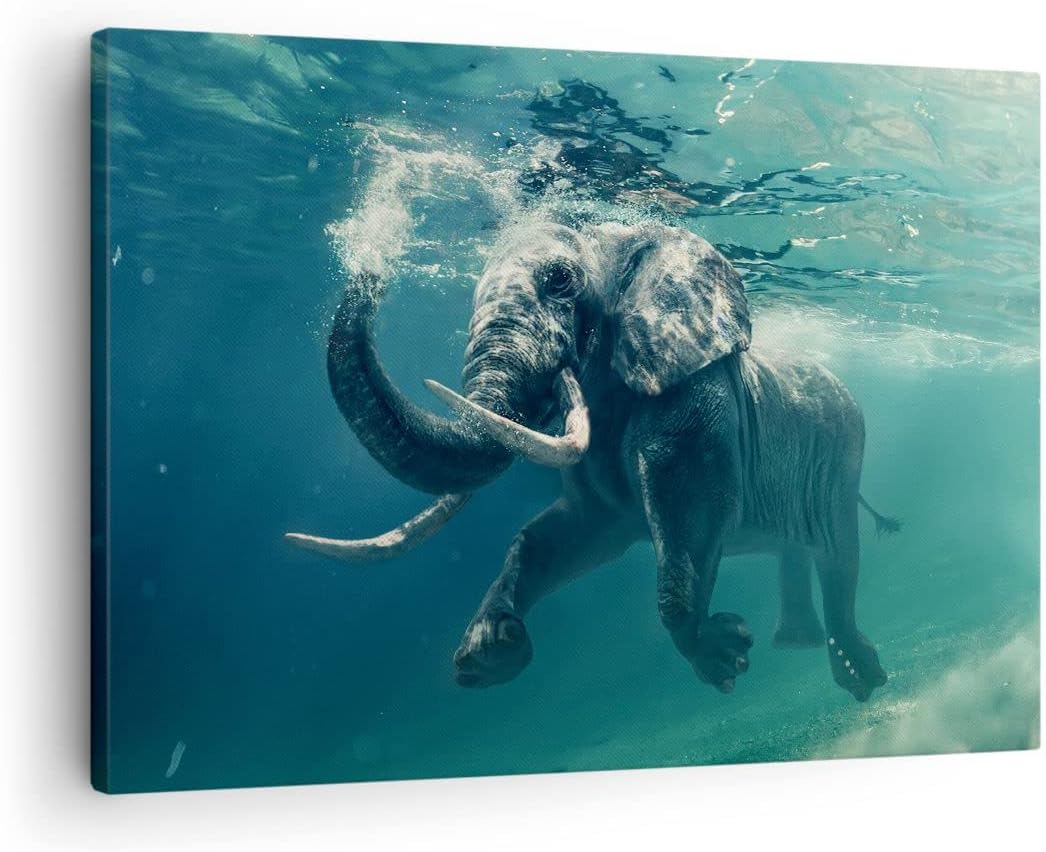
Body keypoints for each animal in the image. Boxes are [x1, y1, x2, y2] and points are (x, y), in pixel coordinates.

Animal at [286, 219, 899, 702]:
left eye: (559, 281)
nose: (371, 265)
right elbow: (567, 534)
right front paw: (489, 653)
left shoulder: (695, 401)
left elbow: (692, 515)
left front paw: (725, 657)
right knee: (798, 551)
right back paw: (796, 644)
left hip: (845, 456)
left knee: (839, 556)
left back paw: (858, 676)